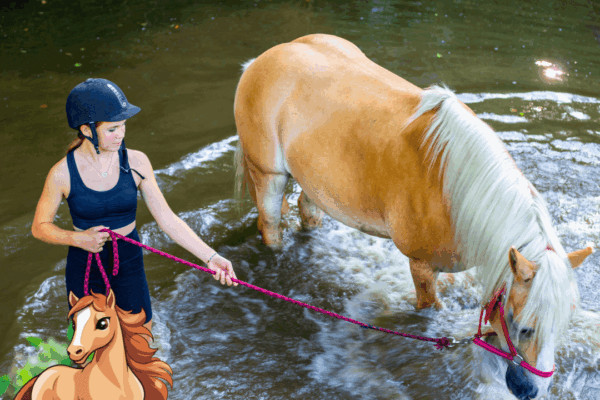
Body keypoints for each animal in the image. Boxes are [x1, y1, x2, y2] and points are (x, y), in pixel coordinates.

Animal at [233, 34, 593, 399]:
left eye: (562, 326)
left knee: (308, 210)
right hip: (269, 176)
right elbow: (429, 313)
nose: (530, 390)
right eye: (523, 328)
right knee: (270, 225)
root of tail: (264, 58)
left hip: (316, 182)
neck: (455, 189)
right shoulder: (421, 267)